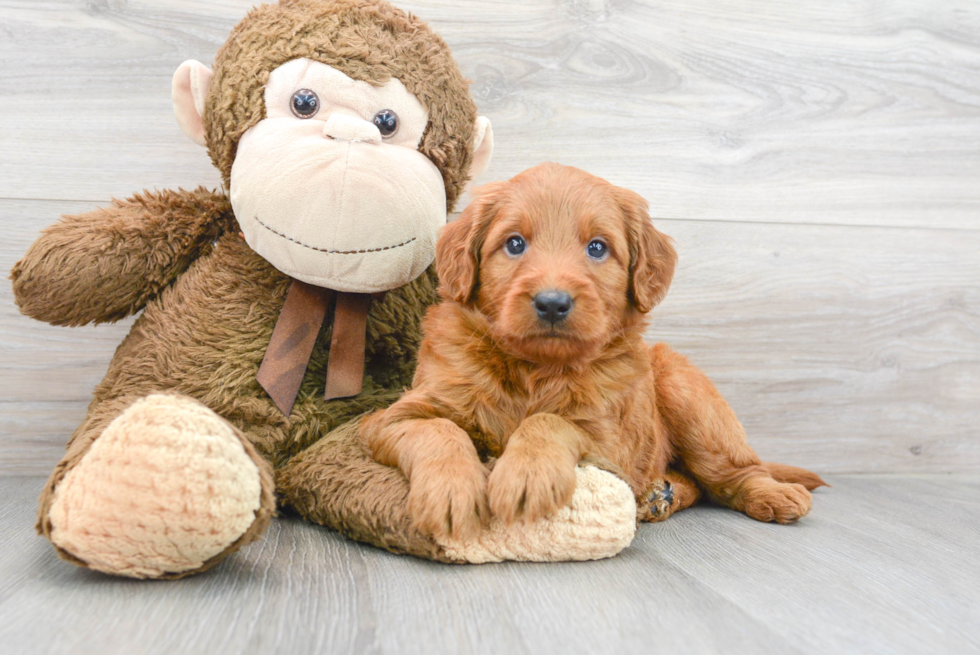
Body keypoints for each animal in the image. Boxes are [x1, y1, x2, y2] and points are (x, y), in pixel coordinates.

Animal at [364, 161, 824, 540]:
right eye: (514, 244)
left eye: (598, 248)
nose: (552, 303)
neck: (534, 370)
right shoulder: (393, 417)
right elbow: (440, 429)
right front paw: (452, 491)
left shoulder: (610, 442)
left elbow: (551, 421)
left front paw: (525, 474)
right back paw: (661, 495)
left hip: (687, 394)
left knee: (736, 472)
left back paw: (773, 495)